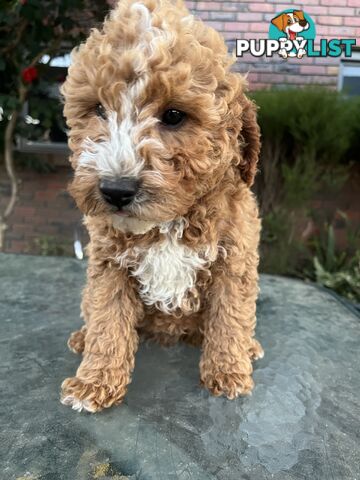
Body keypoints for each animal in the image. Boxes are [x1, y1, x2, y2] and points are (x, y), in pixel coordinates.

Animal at [60, 0, 262, 412]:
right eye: (98, 110)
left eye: (173, 115)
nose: (115, 190)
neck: (170, 222)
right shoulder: (109, 265)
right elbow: (107, 321)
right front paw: (93, 383)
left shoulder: (234, 261)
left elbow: (230, 317)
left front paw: (228, 373)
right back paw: (82, 338)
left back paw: (248, 348)